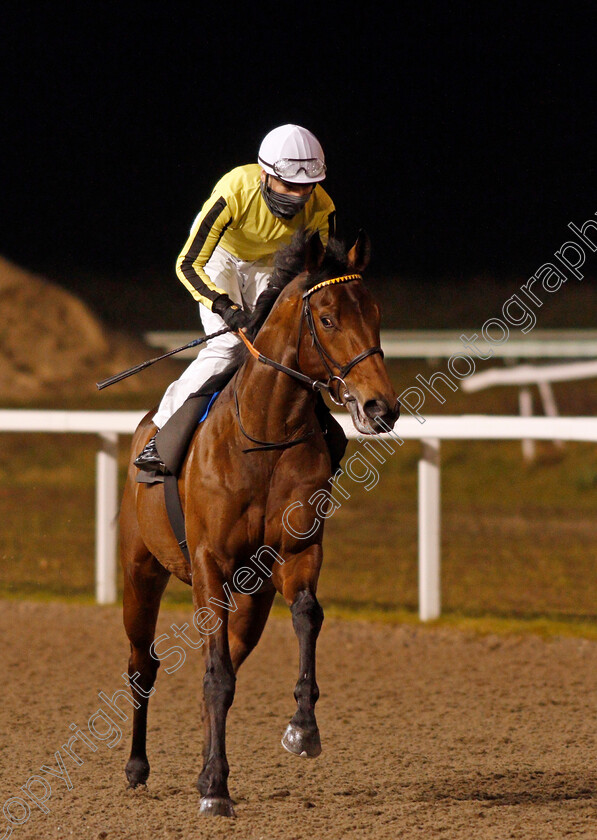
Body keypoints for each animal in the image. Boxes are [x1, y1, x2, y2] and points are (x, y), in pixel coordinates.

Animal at [118, 228, 400, 812]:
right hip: (141, 571)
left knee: (227, 662)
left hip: (251, 600)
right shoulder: (209, 563)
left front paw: (302, 729)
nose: (381, 407)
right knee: (142, 665)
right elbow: (214, 676)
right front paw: (215, 791)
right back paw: (137, 767)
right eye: (328, 318)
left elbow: (307, 616)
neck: (266, 430)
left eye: (376, 312)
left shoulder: (297, 551)